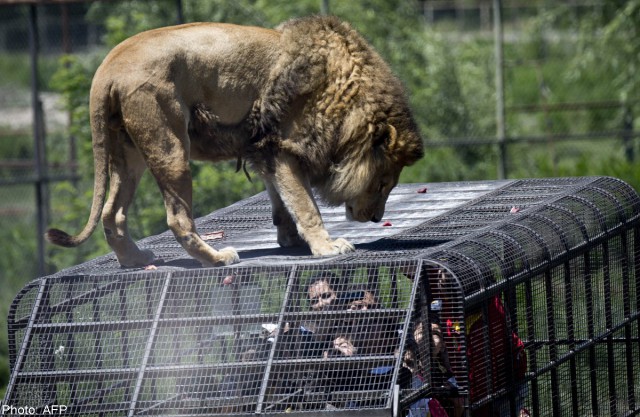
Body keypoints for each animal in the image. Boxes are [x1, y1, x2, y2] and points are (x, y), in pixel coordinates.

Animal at [45, 15, 424, 266]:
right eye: (383, 183)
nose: (375, 218)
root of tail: (107, 67)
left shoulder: (265, 151)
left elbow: (281, 200)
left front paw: (289, 239)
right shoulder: (283, 148)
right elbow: (306, 204)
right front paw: (326, 247)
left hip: (129, 153)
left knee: (112, 214)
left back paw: (136, 259)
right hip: (170, 145)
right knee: (176, 218)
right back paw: (217, 258)